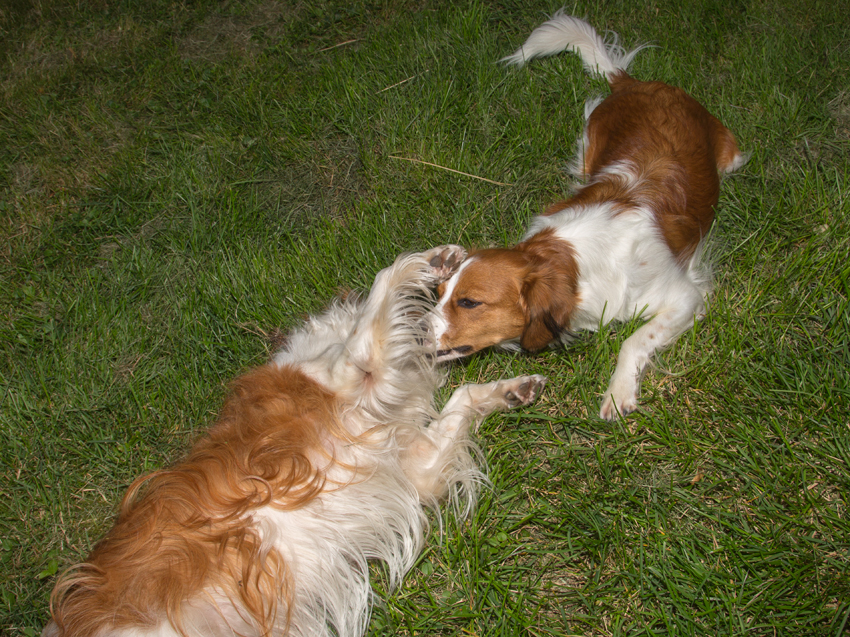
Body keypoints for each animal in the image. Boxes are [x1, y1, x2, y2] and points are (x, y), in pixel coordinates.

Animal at [43, 245, 544, 636]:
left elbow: (463, 397)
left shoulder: (413, 466)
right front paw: (432, 259)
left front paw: (512, 390)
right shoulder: (354, 369)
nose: (428, 332)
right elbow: (384, 280)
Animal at [430, 12, 744, 420]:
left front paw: (618, 391)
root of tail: (634, 82)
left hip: (731, 155)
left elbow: (635, 338)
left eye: (468, 302)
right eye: (438, 293)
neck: (573, 260)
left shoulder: (684, 296)